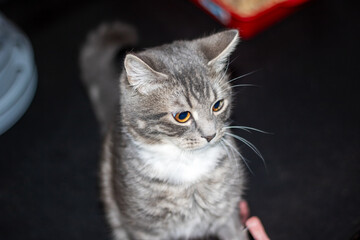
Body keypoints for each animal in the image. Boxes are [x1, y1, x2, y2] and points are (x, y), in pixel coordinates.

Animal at [79, 21, 249, 239]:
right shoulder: (145, 229)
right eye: (182, 116)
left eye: (217, 105)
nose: (210, 135)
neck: (189, 163)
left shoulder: (227, 214)